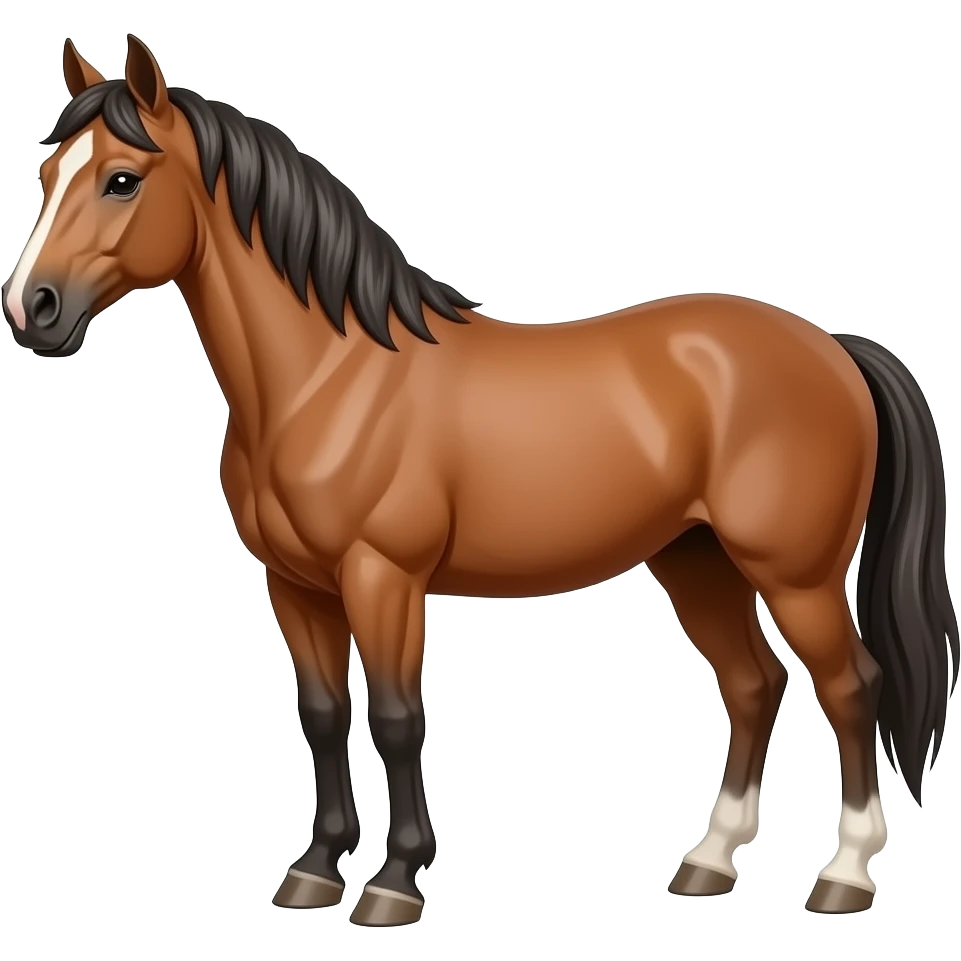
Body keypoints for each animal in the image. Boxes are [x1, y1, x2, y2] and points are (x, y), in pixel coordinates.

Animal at [2, 34, 957, 925]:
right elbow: (321, 714)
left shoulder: (383, 576)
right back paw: (708, 862)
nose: (32, 309)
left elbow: (396, 716)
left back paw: (842, 876)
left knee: (851, 686)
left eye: (122, 180)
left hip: (794, 575)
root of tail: (832, 346)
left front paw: (394, 882)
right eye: (48, 173)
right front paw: (314, 870)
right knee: (753, 685)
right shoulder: (294, 585)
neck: (329, 376)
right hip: (696, 560)